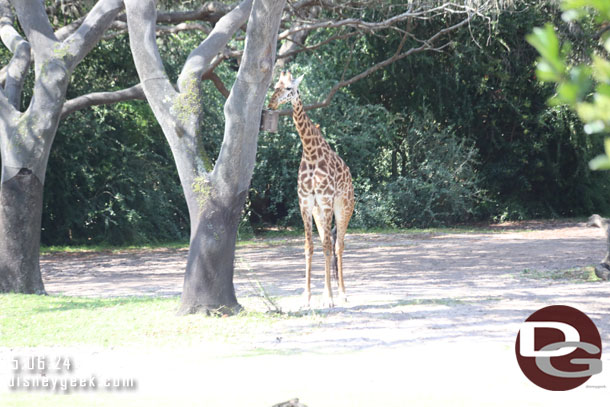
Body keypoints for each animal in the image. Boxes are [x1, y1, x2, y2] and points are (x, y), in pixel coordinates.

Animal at [266, 71, 352, 308]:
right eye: (275, 86)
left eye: (289, 89)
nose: (271, 103)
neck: (311, 152)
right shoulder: (305, 203)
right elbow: (309, 247)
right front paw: (307, 297)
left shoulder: (326, 200)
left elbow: (327, 246)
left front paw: (330, 298)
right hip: (318, 213)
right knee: (327, 243)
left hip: (343, 208)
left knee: (338, 245)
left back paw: (342, 294)